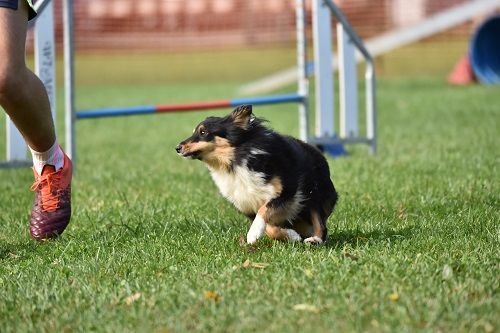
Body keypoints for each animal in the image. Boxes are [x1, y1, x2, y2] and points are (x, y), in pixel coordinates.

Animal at [174, 105, 338, 244]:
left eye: (203, 132)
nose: (177, 147)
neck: (235, 161)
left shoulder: (288, 191)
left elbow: (264, 209)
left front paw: (253, 233)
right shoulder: (245, 203)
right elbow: (270, 227)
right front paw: (291, 236)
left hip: (315, 194)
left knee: (320, 223)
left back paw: (315, 239)